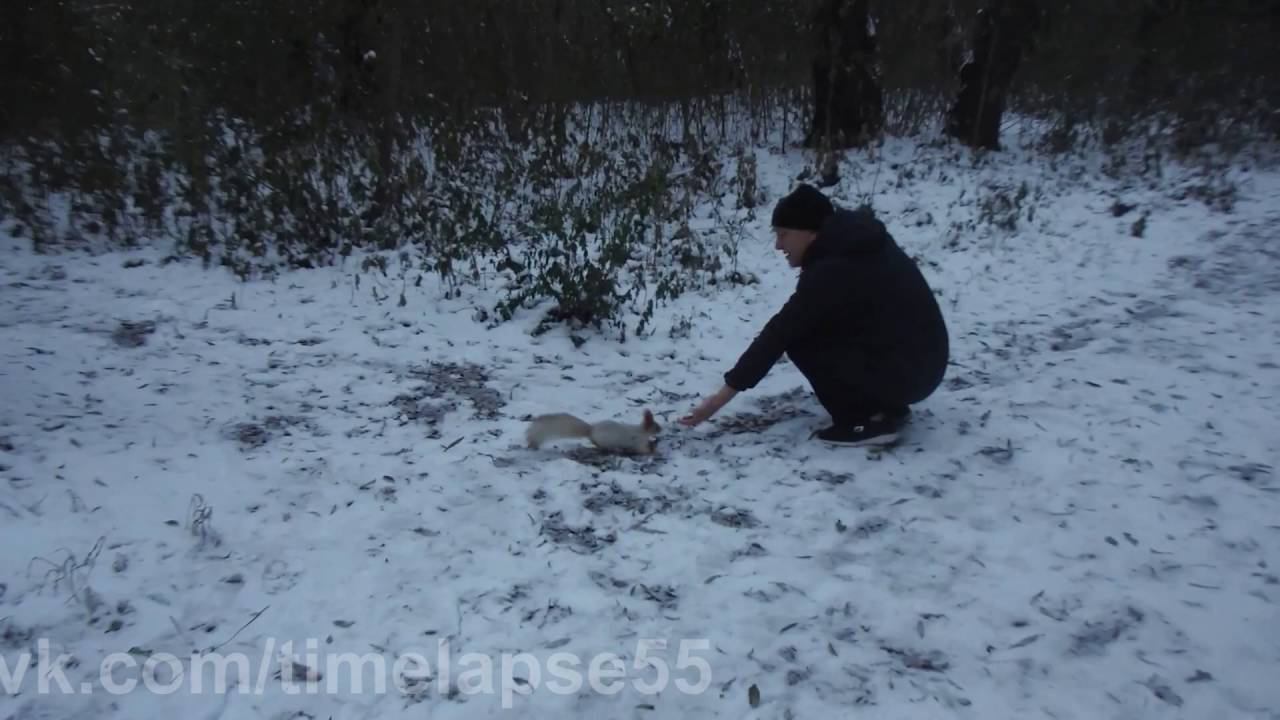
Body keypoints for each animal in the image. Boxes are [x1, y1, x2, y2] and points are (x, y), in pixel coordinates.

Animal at [522, 407, 660, 450]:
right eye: (656, 427)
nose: (662, 430)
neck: (641, 431)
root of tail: (591, 430)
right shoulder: (638, 442)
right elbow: (643, 450)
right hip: (604, 440)